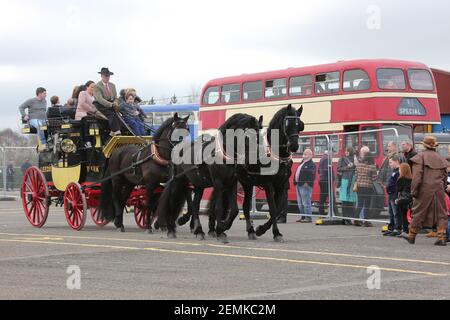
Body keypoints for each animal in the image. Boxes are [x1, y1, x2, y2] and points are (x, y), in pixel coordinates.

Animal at [157, 114, 266, 242]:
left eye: (261, 135)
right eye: (249, 135)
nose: (258, 159)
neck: (223, 154)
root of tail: (176, 148)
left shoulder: (231, 184)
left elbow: (234, 210)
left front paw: (223, 227)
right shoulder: (218, 183)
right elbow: (218, 208)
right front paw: (220, 230)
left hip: (198, 184)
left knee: (195, 205)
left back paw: (198, 230)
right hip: (178, 181)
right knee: (172, 201)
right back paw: (171, 229)